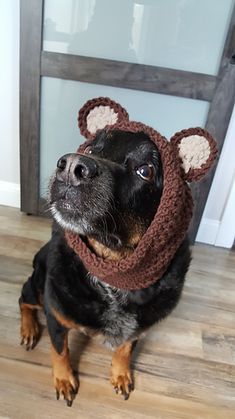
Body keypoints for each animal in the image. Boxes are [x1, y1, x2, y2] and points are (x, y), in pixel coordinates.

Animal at [18, 128, 191, 406]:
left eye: (146, 170)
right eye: (90, 149)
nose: (71, 166)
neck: (112, 279)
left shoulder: (138, 328)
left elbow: (125, 349)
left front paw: (120, 375)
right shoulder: (55, 316)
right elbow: (59, 351)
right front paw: (64, 380)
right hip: (38, 289)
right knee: (23, 299)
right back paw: (29, 329)